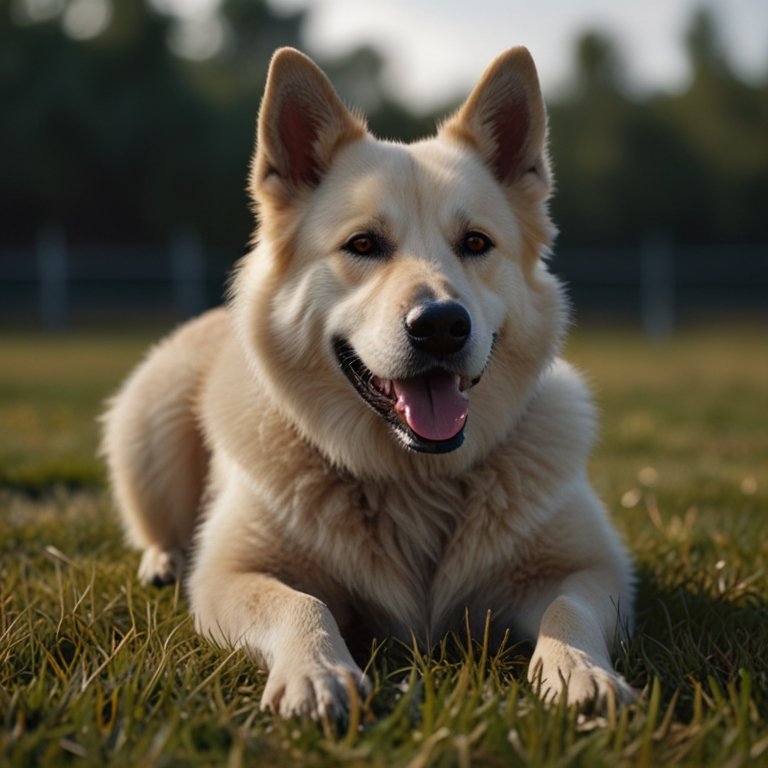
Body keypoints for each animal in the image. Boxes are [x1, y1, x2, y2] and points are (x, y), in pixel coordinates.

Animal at [102, 46, 636, 720]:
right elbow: (302, 603)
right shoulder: (229, 576)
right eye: (363, 243)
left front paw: (579, 671)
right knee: (154, 525)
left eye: (475, 243)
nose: (441, 326)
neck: (413, 480)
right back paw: (163, 560)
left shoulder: (595, 570)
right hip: (150, 425)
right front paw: (316, 671)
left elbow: (568, 610)